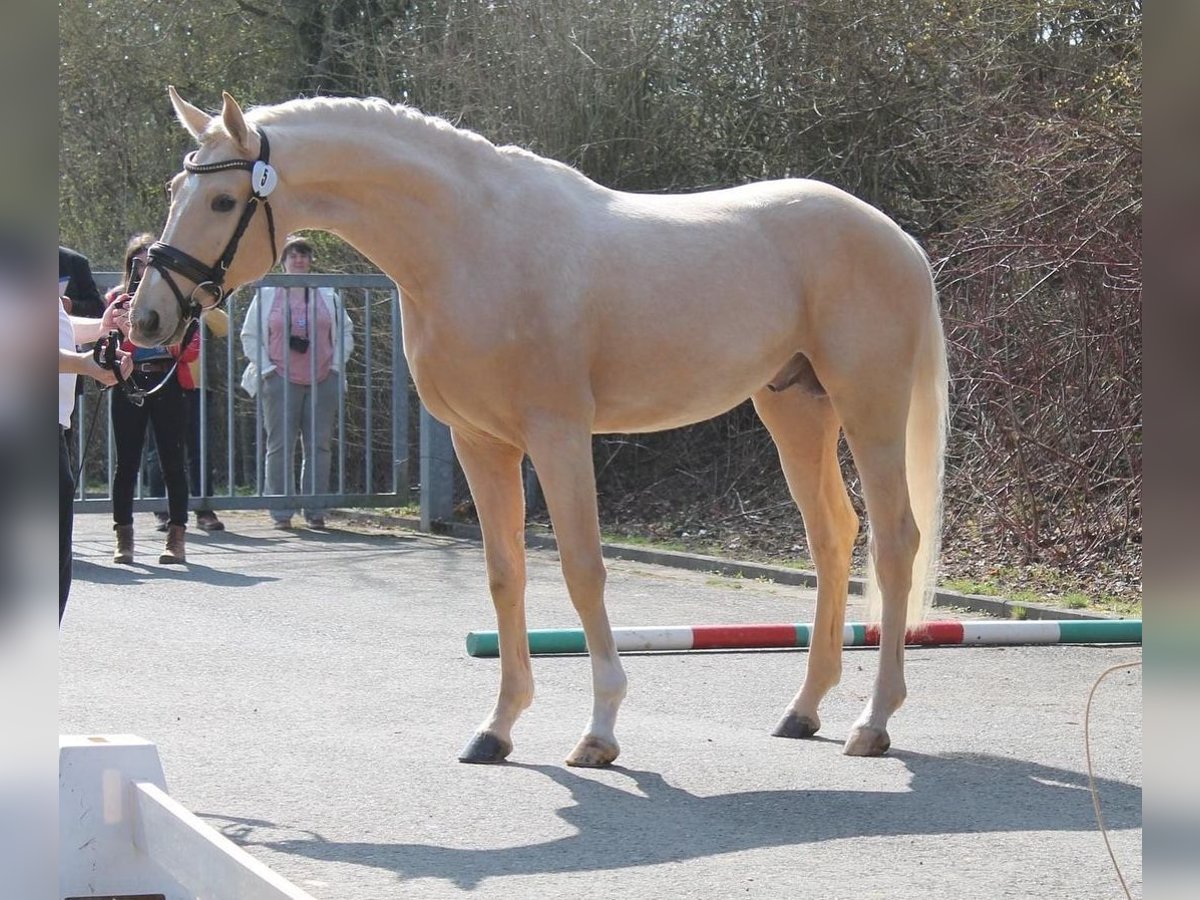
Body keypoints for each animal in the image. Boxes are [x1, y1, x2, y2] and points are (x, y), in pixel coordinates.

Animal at [133, 90, 945, 768]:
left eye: (224, 198)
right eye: (177, 191)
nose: (147, 317)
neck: (472, 243)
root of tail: (897, 238)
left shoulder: (558, 435)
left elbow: (584, 571)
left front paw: (600, 732)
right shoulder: (480, 443)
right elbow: (505, 574)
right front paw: (497, 729)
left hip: (869, 406)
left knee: (895, 541)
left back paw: (874, 721)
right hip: (795, 406)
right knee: (833, 536)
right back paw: (804, 710)